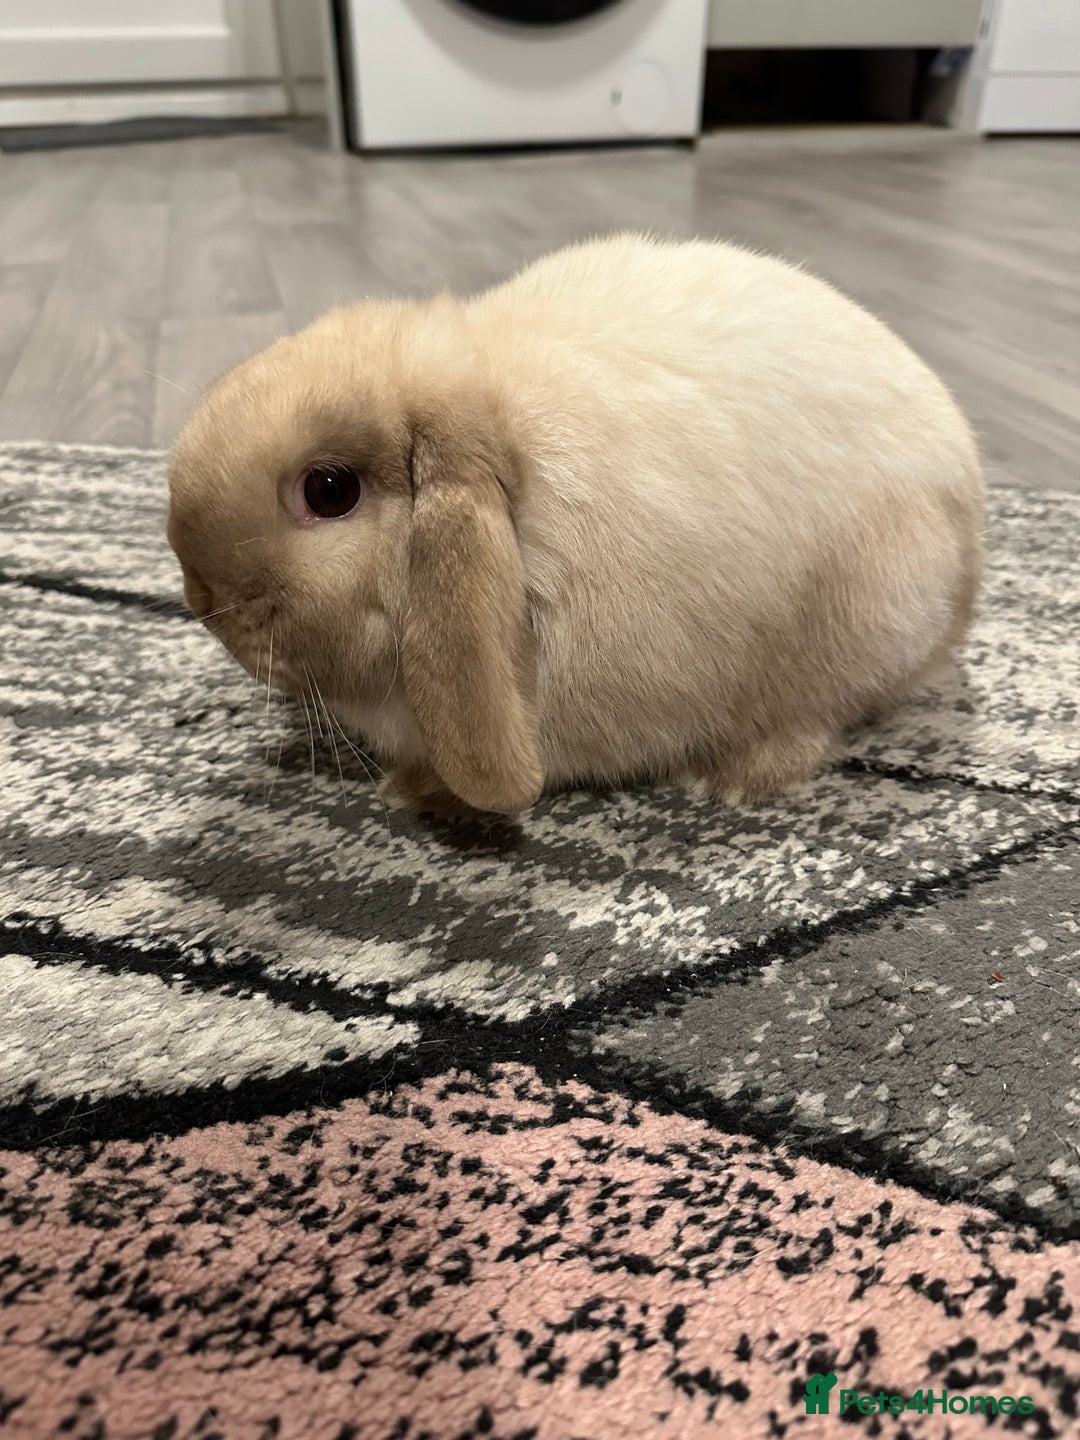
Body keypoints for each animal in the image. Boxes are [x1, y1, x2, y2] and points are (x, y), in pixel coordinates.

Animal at [167, 233, 984, 817]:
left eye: (329, 490)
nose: (201, 599)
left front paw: (413, 791)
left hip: (864, 624)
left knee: (822, 716)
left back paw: (736, 777)